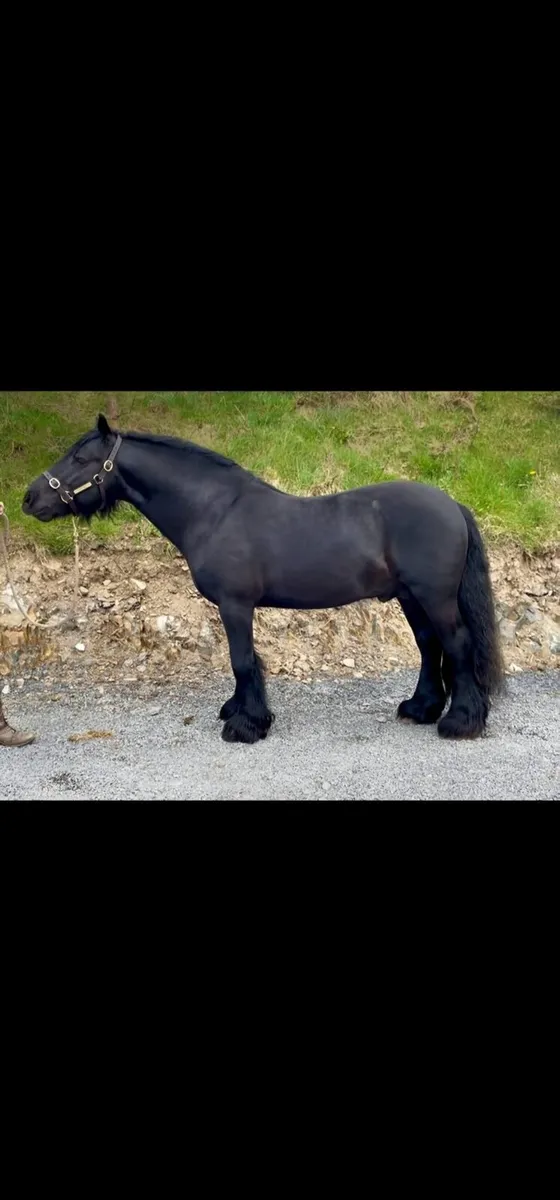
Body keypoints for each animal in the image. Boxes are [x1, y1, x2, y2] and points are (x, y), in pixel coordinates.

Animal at [23, 414, 503, 744]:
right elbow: (246, 662)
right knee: (429, 645)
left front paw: (245, 725)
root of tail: (452, 505)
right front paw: (239, 711)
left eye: (81, 459)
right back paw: (420, 708)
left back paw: (460, 721)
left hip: (434, 597)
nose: (29, 498)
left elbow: (242, 660)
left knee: (458, 645)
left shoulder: (235, 605)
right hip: (409, 597)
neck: (214, 510)